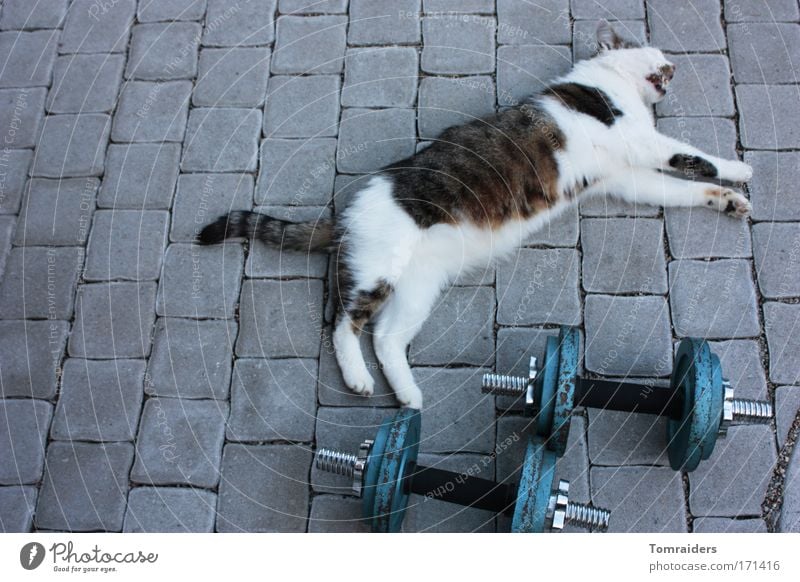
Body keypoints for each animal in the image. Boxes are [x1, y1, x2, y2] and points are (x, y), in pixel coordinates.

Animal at [198, 21, 752, 410]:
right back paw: (358, 378)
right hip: (380, 269)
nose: (675, 68)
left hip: (420, 286)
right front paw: (739, 169)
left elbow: (682, 187)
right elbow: (693, 156)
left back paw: (408, 395)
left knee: (386, 338)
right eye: (656, 55)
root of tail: (347, 210)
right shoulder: (639, 141)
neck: (606, 83)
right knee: (343, 325)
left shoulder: (625, 176)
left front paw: (726, 199)